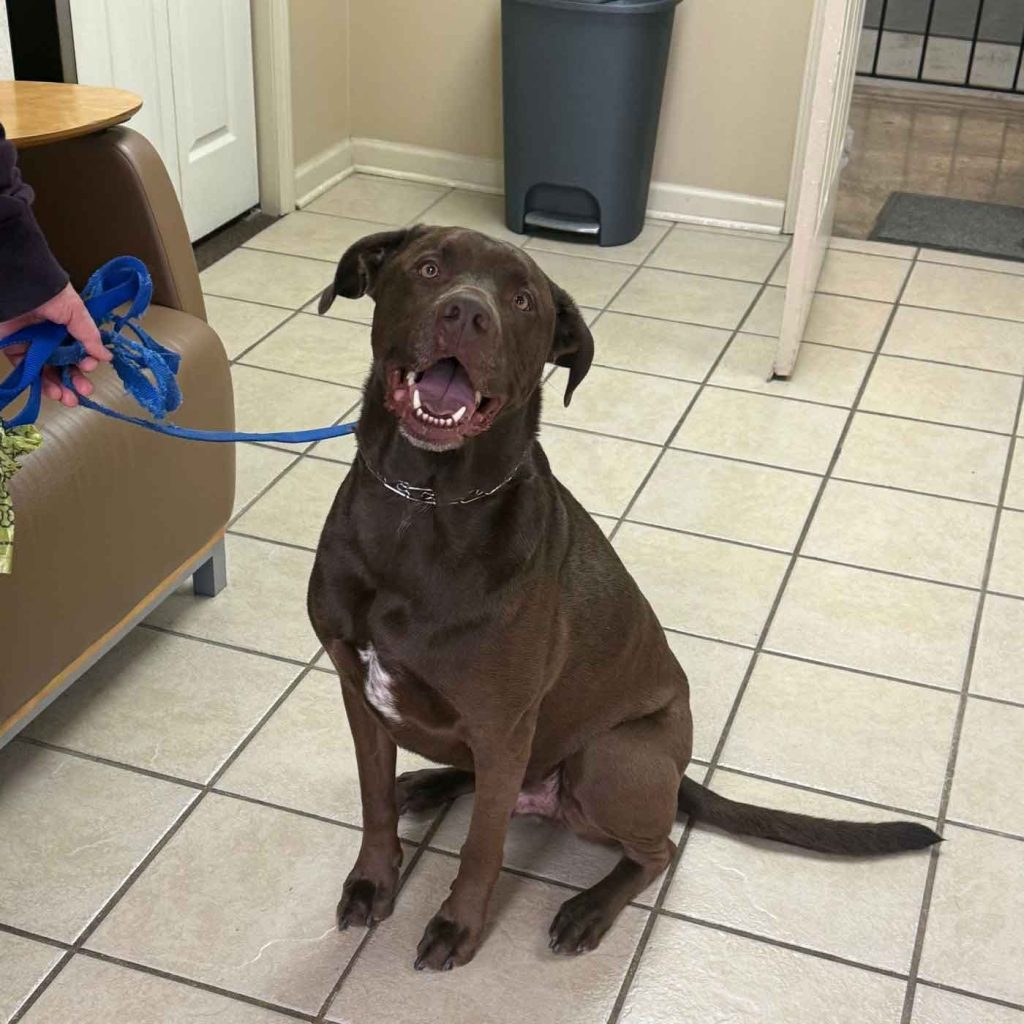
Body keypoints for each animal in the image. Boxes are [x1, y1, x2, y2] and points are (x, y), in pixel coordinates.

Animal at [308, 225, 940, 972]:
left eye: (522, 300)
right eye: (429, 268)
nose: (466, 314)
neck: (422, 502)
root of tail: (679, 771)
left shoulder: (501, 720)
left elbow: (481, 848)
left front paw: (458, 926)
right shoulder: (358, 691)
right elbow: (374, 802)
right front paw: (372, 880)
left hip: (607, 758)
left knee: (657, 849)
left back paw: (589, 908)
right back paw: (431, 784)